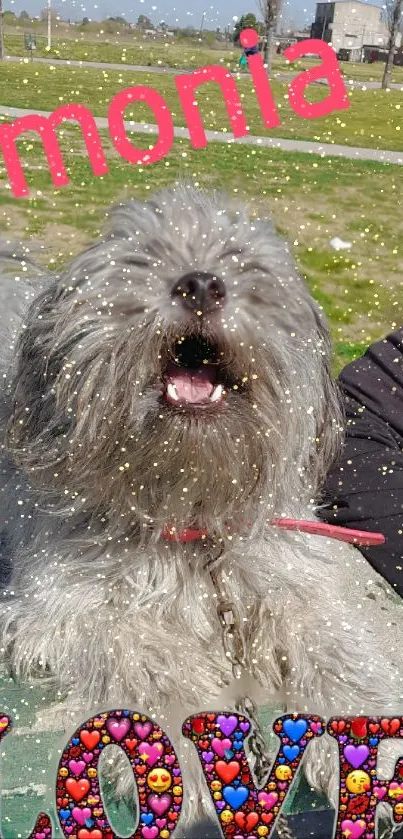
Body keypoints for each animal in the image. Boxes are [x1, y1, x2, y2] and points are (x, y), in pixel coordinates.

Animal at [0, 184, 403, 832]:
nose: (201, 285)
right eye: (144, 258)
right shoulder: (72, 608)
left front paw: (371, 742)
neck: (192, 518)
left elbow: (333, 644)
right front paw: (183, 766)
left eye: (244, 264)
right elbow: (151, 663)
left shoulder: (289, 580)